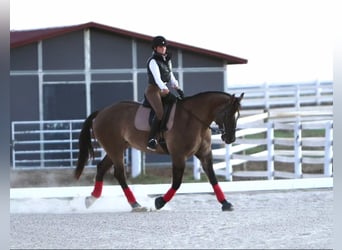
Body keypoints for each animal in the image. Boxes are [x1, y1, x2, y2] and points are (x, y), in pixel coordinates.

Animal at [75, 91, 244, 212]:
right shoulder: (178, 156)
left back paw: (91, 199)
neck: (194, 119)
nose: (230, 138)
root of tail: (102, 112)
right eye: (228, 114)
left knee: (102, 168)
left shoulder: (205, 155)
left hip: (117, 148)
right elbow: (177, 183)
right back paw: (135, 204)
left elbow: (213, 179)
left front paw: (226, 203)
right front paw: (159, 202)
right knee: (119, 174)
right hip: (114, 148)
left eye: (238, 115)